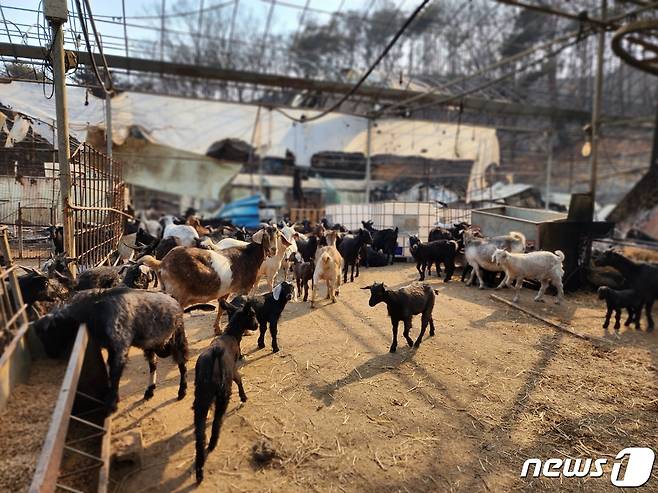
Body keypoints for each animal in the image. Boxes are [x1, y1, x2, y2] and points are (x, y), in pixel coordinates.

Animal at [33, 288, 188, 412]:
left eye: (49, 333)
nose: (50, 355)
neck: (94, 308)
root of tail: (173, 299)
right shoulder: (110, 348)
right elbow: (110, 369)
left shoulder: (120, 346)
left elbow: (114, 373)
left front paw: (111, 402)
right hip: (152, 345)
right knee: (153, 364)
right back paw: (149, 391)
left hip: (177, 339)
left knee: (182, 363)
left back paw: (182, 391)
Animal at [192, 298, 256, 482]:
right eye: (253, 315)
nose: (257, 325)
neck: (231, 334)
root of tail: (215, 353)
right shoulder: (233, 370)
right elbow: (240, 380)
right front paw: (244, 397)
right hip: (223, 392)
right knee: (217, 422)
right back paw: (213, 444)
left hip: (201, 394)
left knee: (199, 432)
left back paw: (199, 469)